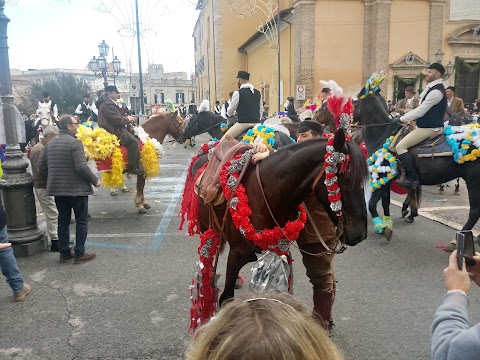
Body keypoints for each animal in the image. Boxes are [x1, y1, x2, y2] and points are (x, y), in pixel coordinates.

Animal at [188, 129, 368, 304]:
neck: (267, 194)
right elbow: (226, 297)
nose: (359, 235)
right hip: (206, 228)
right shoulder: (236, 255)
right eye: (346, 179)